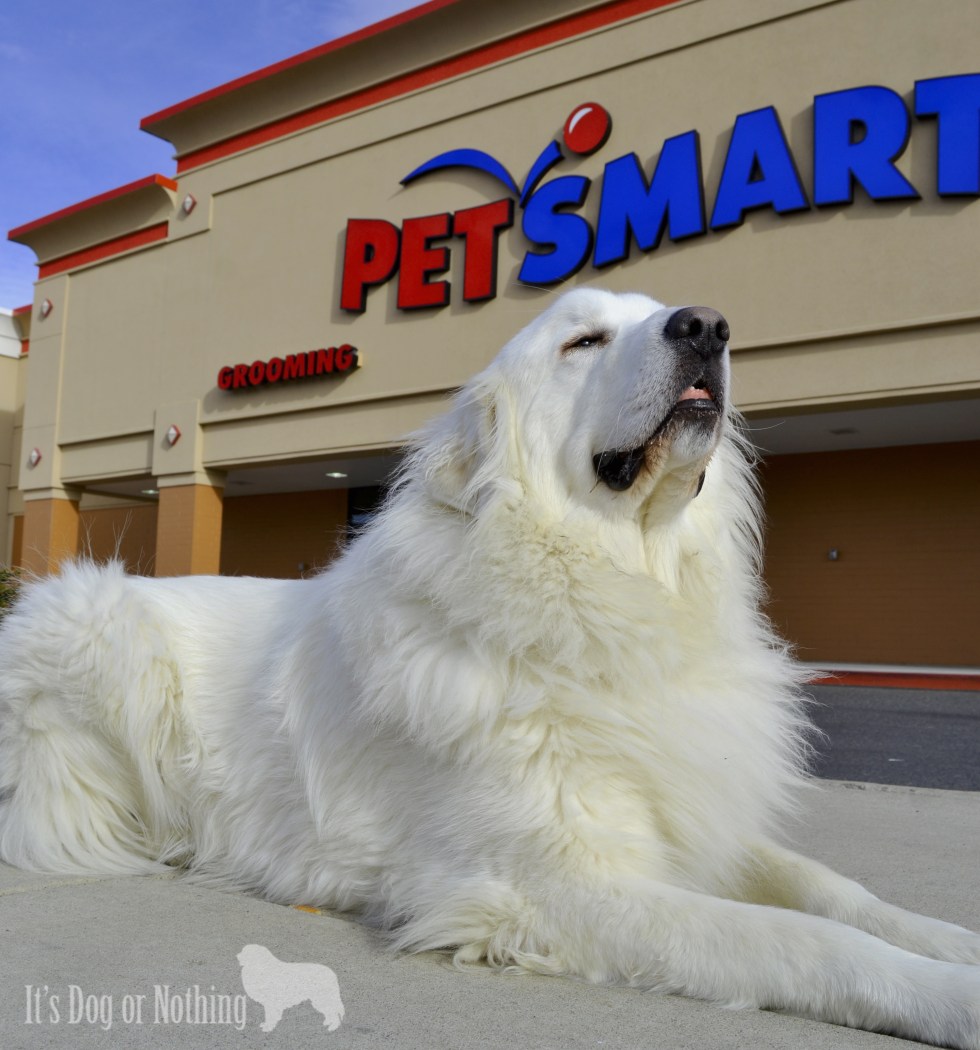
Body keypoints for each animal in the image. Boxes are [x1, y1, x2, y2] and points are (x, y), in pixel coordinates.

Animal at [1, 289, 978, 1050]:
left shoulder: (694, 815)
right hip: (97, 623)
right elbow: (799, 941)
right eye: (583, 342)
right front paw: (950, 997)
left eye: (672, 313)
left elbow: (834, 891)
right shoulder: (552, 887)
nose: (707, 326)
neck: (612, 591)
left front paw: (953, 943)